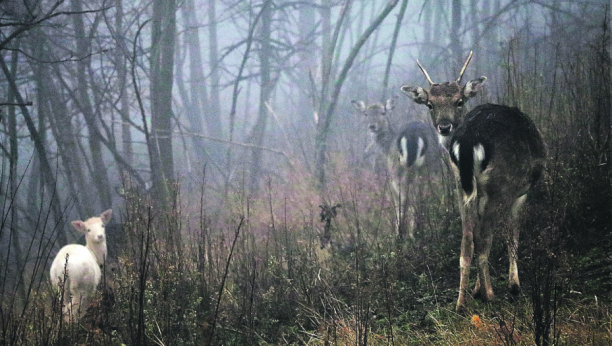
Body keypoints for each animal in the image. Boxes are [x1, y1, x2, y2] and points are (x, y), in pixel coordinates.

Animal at [354, 97, 440, 238]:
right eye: (366, 114)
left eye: (383, 113)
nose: (372, 126)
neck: (387, 147)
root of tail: (414, 137)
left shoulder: (392, 175)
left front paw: (398, 231)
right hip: (430, 167)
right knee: (424, 195)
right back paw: (420, 227)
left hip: (400, 170)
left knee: (406, 198)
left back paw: (405, 233)